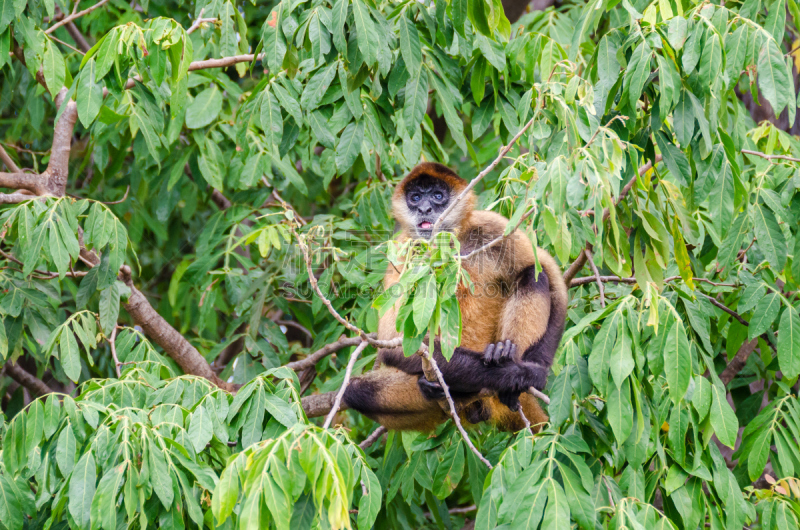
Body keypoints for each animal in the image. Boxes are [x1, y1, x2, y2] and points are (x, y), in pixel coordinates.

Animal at [340, 163, 564, 432]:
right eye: (415, 198)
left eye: (438, 196)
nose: (425, 209)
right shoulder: (404, 249)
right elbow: (394, 342)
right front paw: (520, 375)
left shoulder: (489, 225)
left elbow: (551, 277)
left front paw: (534, 370)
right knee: (354, 391)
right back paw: (447, 391)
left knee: (533, 276)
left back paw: (505, 359)